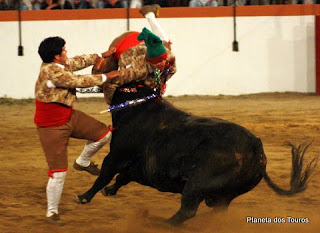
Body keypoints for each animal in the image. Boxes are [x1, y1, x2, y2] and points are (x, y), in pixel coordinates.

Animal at [76, 82, 318, 226]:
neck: (138, 109)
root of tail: (255, 146)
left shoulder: (115, 156)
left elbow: (104, 176)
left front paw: (83, 197)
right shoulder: (138, 168)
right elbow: (121, 178)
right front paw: (109, 191)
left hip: (196, 185)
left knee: (188, 210)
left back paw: (162, 223)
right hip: (224, 195)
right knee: (217, 212)